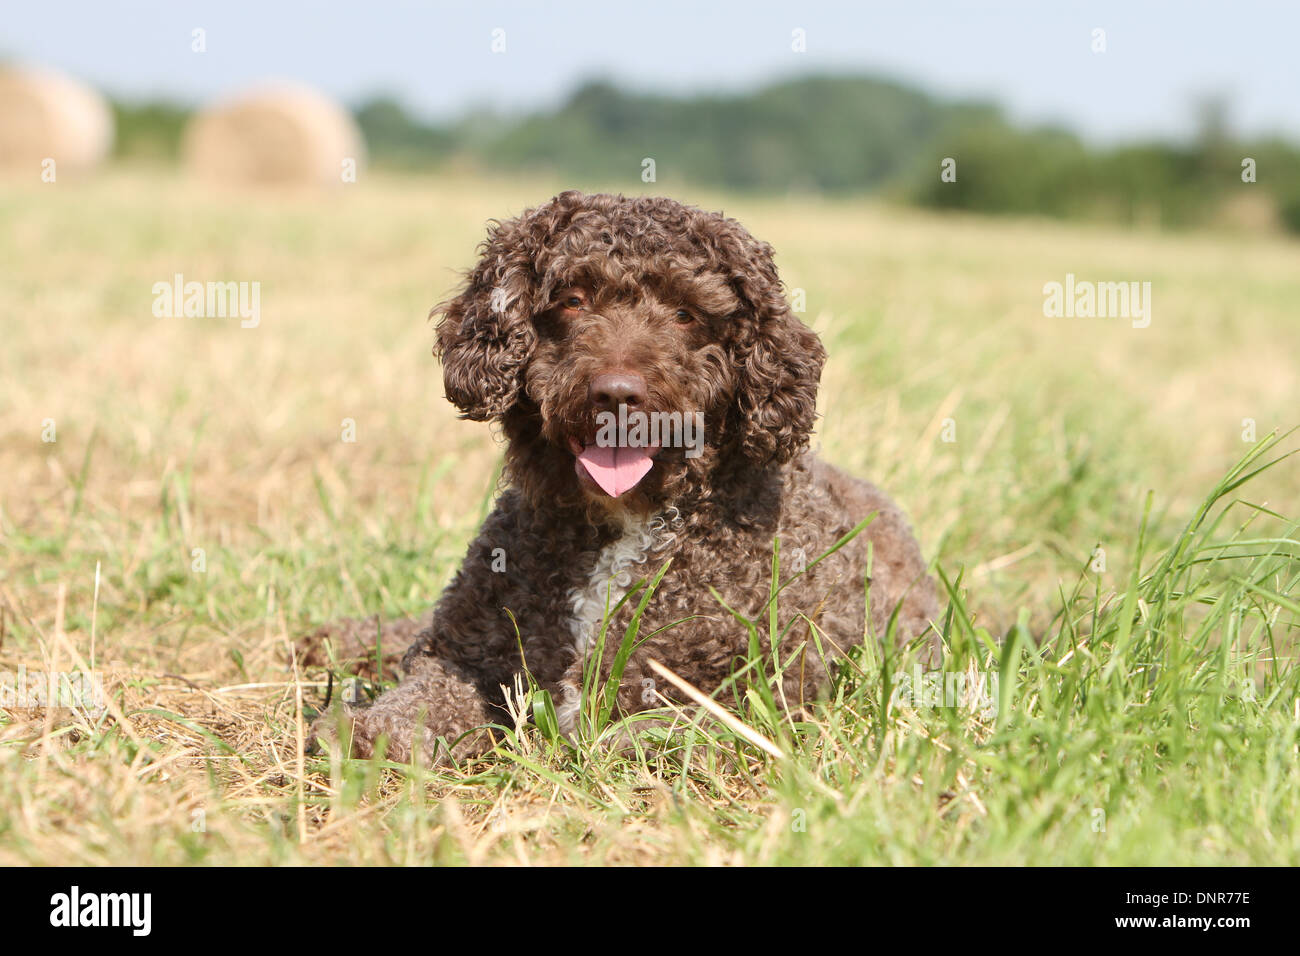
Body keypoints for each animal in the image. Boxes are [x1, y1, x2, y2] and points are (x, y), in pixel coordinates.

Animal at [314, 192, 946, 764]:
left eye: (686, 313)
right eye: (572, 299)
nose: (616, 394)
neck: (626, 520)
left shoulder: (771, 692)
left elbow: (661, 727)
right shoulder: (466, 655)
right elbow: (416, 703)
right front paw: (363, 728)